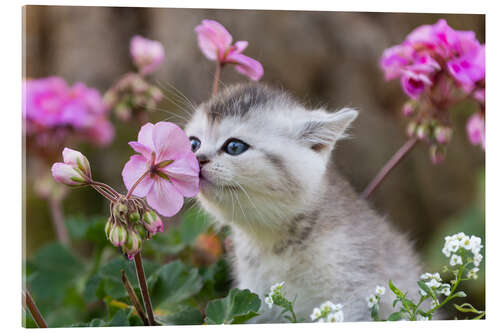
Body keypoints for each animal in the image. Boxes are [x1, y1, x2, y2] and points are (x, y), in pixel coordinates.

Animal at [184, 83, 422, 322]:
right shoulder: (256, 297)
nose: (198, 158)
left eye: (234, 147)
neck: (274, 245)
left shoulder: (356, 292)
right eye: (193, 143)